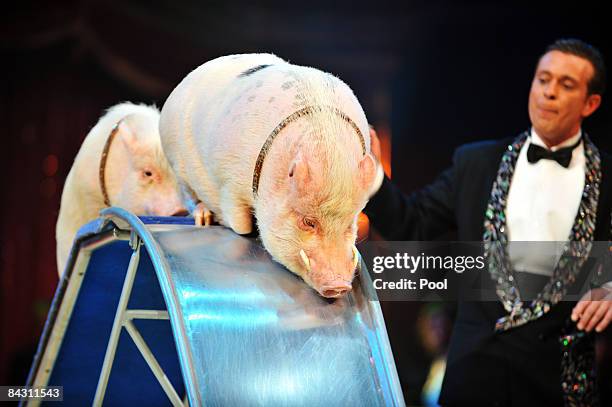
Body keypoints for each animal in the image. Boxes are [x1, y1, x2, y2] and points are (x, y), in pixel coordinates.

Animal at [160, 53, 376, 296]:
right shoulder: (229, 183)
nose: (338, 286)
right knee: (188, 195)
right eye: (308, 222)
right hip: (175, 162)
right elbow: (241, 226)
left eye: (349, 223)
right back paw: (204, 217)